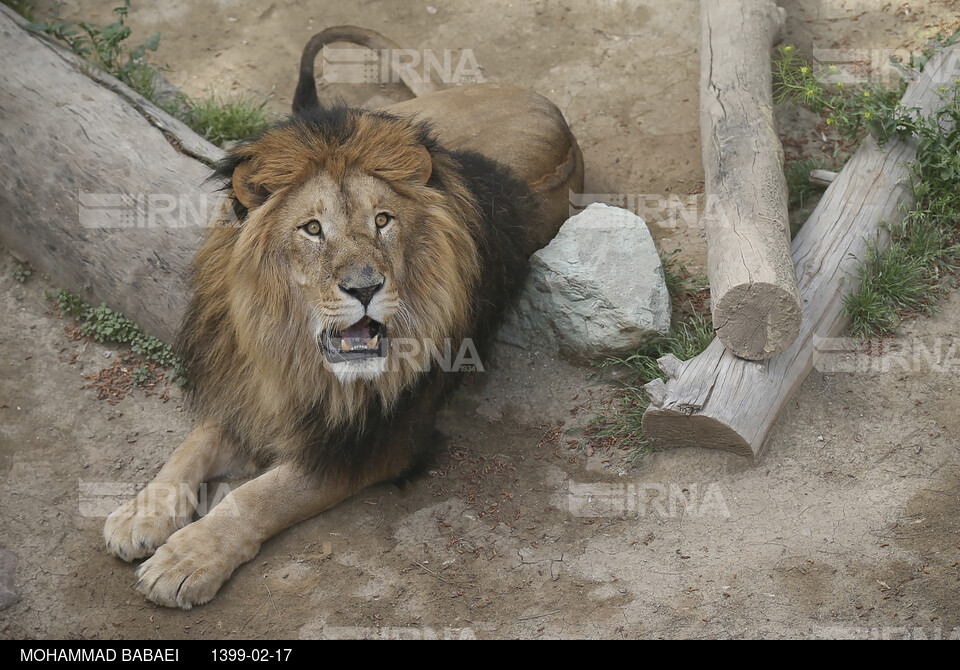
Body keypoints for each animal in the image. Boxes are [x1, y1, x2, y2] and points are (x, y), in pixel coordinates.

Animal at [104, 28, 580, 612]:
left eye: (383, 221)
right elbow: (191, 445)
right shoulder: (248, 388)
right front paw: (140, 513)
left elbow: (261, 493)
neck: (295, 355)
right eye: (312, 229)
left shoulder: (379, 442)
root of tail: (548, 109)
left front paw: (186, 558)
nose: (366, 288)